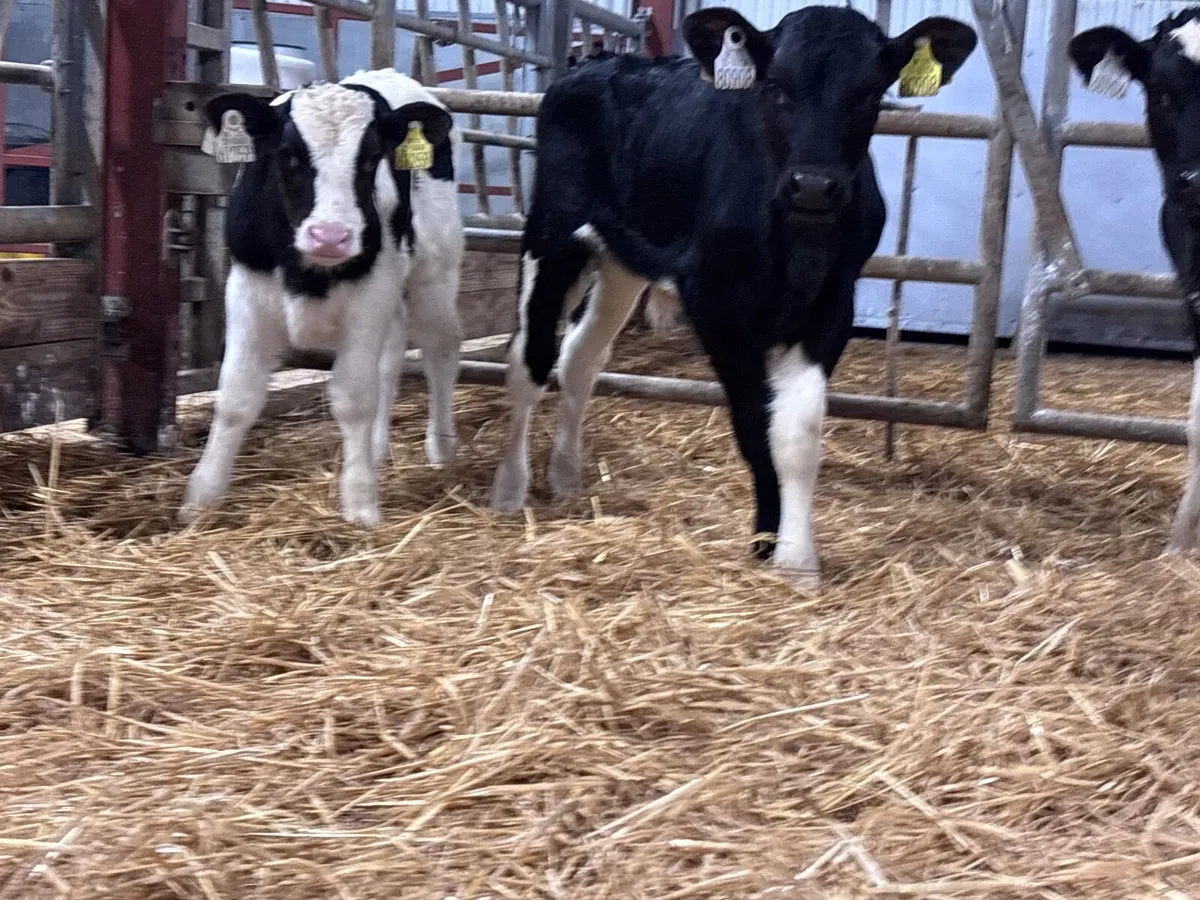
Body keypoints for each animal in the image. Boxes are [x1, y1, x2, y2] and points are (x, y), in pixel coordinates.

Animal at [178, 69, 464, 527]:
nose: (330, 236)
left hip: (435, 272)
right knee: (391, 358)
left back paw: (441, 447)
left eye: (371, 158)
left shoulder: (370, 295)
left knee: (440, 350)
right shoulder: (246, 291)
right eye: (288, 155)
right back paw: (377, 450)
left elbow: (353, 399)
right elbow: (237, 397)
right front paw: (201, 499)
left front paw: (360, 502)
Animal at [485, 5, 978, 587]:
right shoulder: (718, 306)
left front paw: (796, 559)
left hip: (622, 258)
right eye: (775, 86)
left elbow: (796, 432)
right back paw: (510, 488)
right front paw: (767, 541)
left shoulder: (833, 305)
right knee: (531, 357)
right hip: (551, 231)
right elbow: (754, 427)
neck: (795, 239)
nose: (814, 186)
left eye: (869, 93)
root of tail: (596, 62)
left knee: (580, 356)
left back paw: (564, 476)